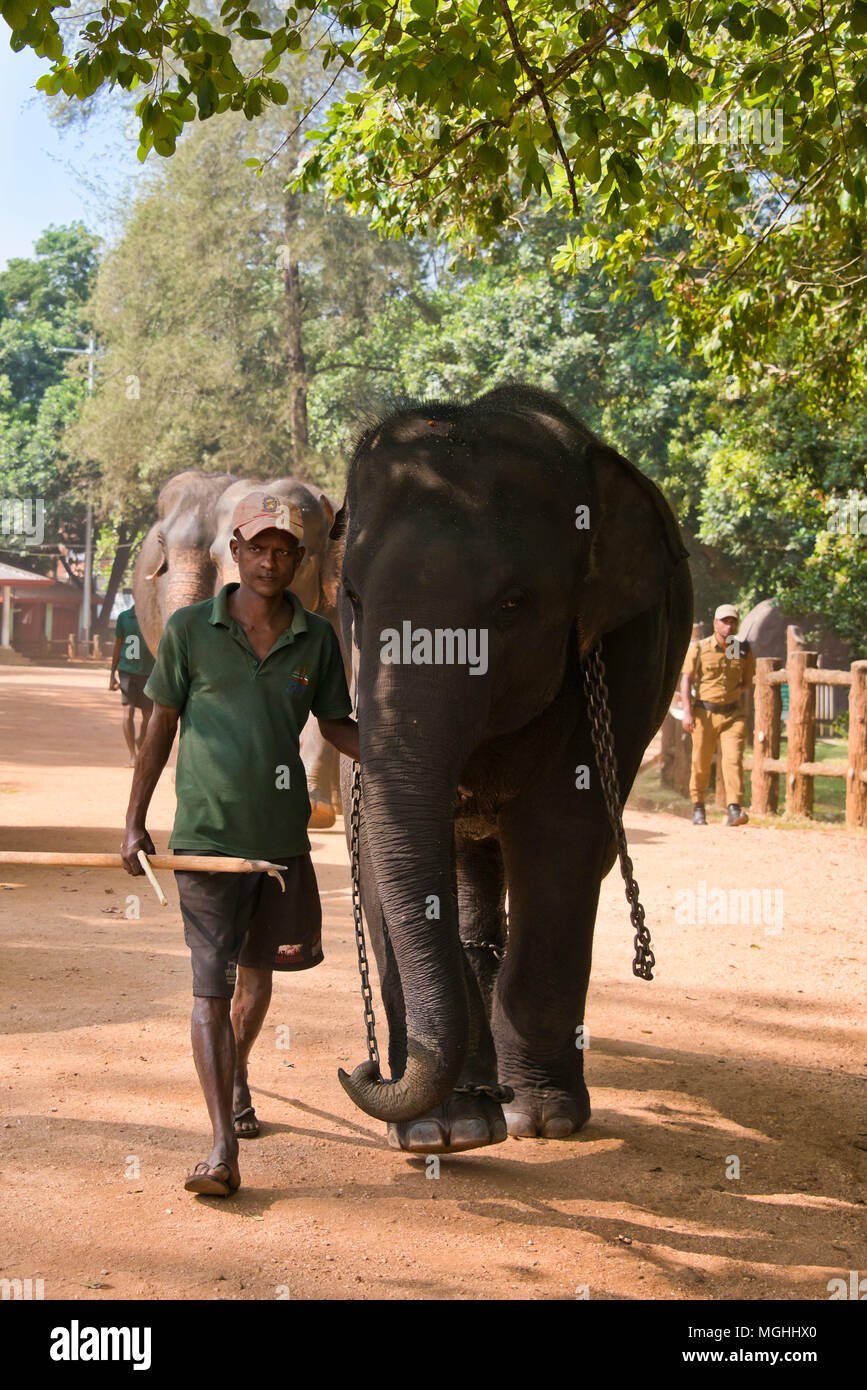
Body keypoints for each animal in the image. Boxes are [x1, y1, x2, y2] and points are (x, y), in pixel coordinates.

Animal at [327, 380, 694, 1150]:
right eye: (353, 599)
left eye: (512, 604)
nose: (361, 1068)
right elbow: (378, 844)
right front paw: (447, 1133)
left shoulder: (622, 653)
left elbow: (561, 836)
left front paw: (540, 1119)